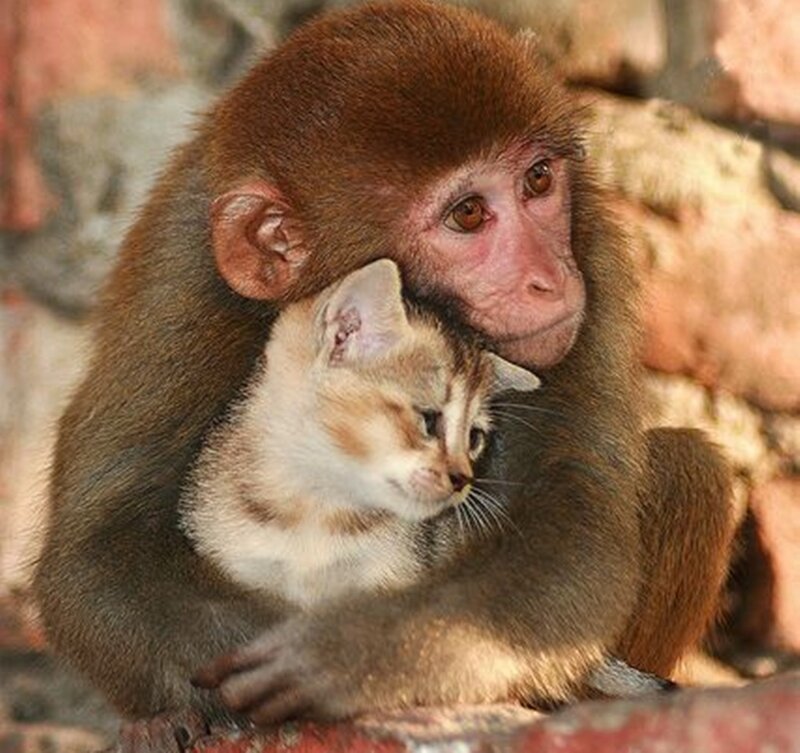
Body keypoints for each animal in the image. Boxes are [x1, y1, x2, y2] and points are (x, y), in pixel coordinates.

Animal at [32, 0, 734, 743]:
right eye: (468, 213)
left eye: (539, 180)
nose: (550, 279)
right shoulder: (181, 271)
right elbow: (96, 552)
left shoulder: (592, 249)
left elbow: (568, 539)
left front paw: (349, 654)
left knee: (687, 466)